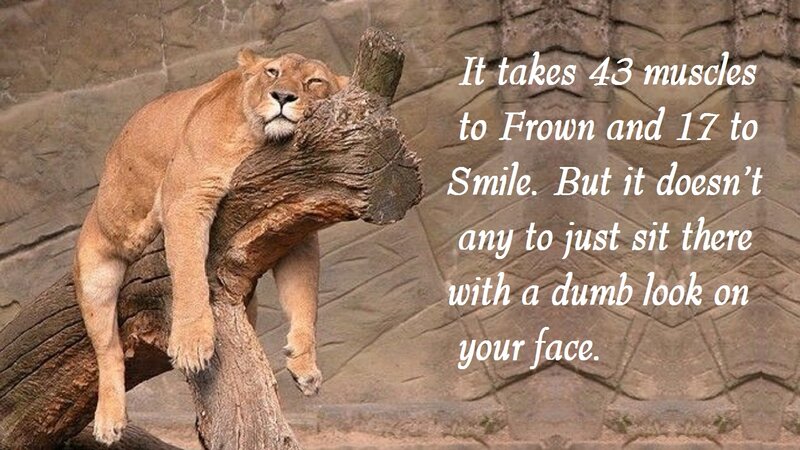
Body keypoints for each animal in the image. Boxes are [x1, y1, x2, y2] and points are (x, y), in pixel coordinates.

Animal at [73, 49, 348, 445]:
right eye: (272, 72)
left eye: (315, 81)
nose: (283, 97)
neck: (260, 143)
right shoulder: (185, 199)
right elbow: (189, 274)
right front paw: (192, 344)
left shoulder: (295, 229)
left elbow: (304, 297)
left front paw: (305, 364)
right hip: (97, 267)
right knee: (108, 350)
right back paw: (109, 421)